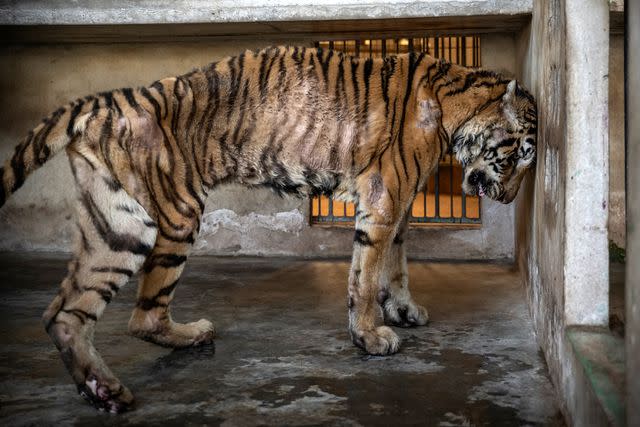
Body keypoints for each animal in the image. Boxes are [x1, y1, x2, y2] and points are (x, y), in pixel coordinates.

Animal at [0, 46, 536, 414]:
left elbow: (397, 263)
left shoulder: (402, 205)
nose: (510, 199)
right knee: (132, 315)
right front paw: (369, 337)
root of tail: (109, 99)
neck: (457, 103)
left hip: (115, 225)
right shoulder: (385, 197)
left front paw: (403, 310)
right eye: (518, 155)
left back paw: (114, 384)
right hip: (167, 217)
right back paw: (155, 359)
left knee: (71, 313)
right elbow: (365, 275)